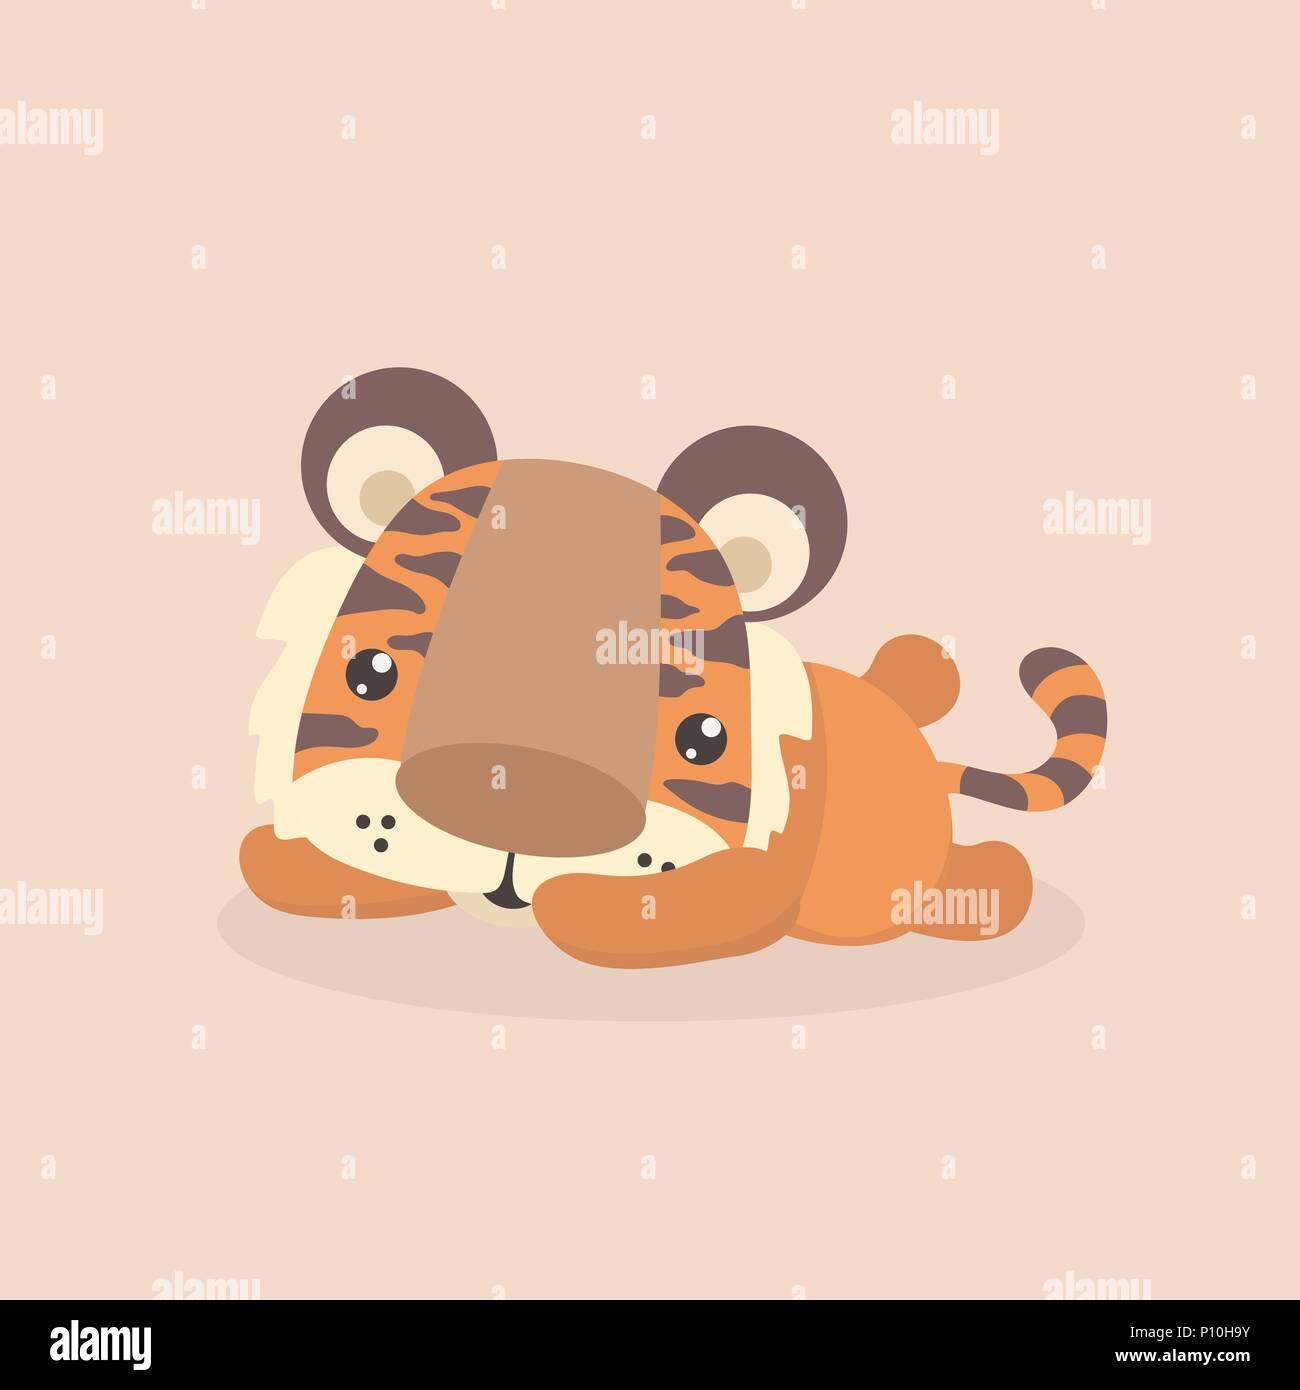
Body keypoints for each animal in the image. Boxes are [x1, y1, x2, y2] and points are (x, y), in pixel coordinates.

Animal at [241, 368, 1107, 968]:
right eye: (371, 674)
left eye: (703, 738)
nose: (516, 794)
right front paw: (284, 854)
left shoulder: (754, 880)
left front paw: (577, 899)